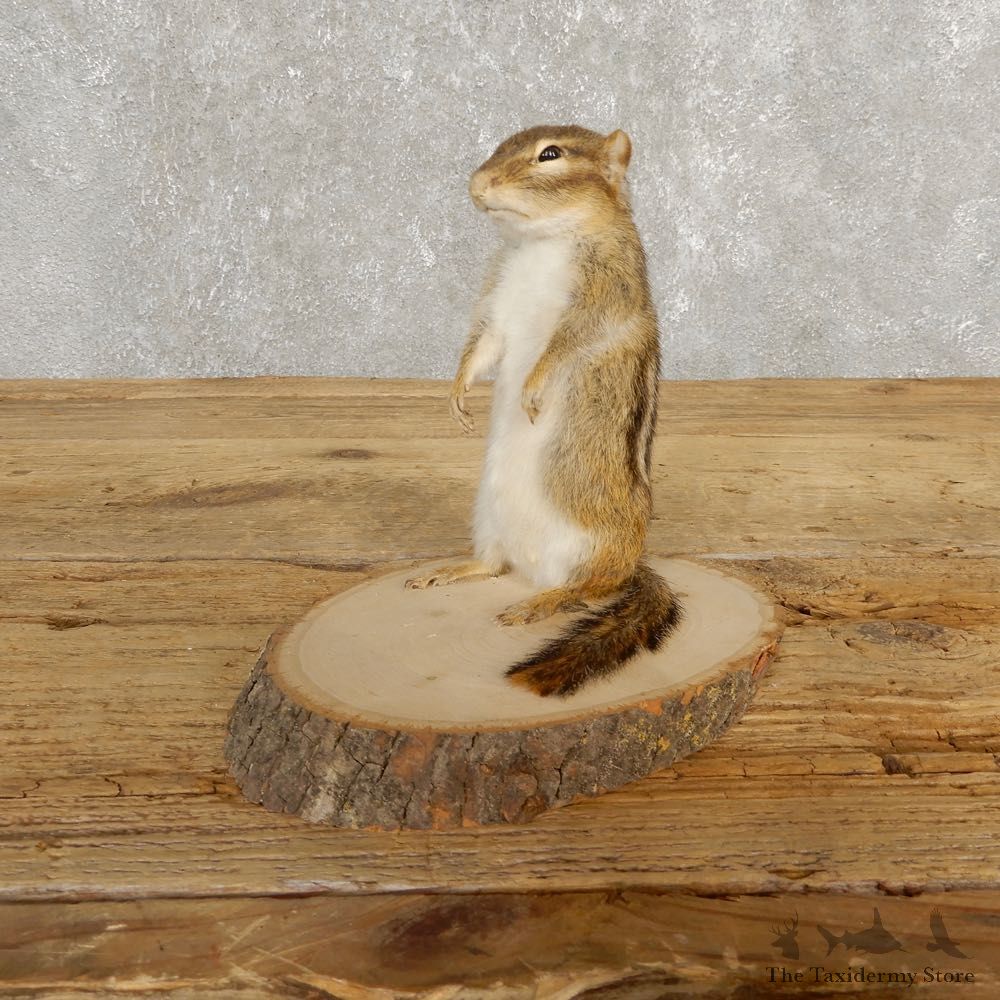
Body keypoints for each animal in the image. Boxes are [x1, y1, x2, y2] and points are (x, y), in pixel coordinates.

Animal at [406, 124, 681, 697]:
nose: (477, 184)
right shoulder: (496, 304)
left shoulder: (604, 295)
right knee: (494, 567)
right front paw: (458, 395)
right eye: (500, 144)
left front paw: (532, 389)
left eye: (550, 154)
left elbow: (562, 348)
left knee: (592, 587)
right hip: (486, 518)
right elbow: (483, 348)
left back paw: (541, 602)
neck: (540, 242)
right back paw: (456, 571)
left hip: (592, 546)